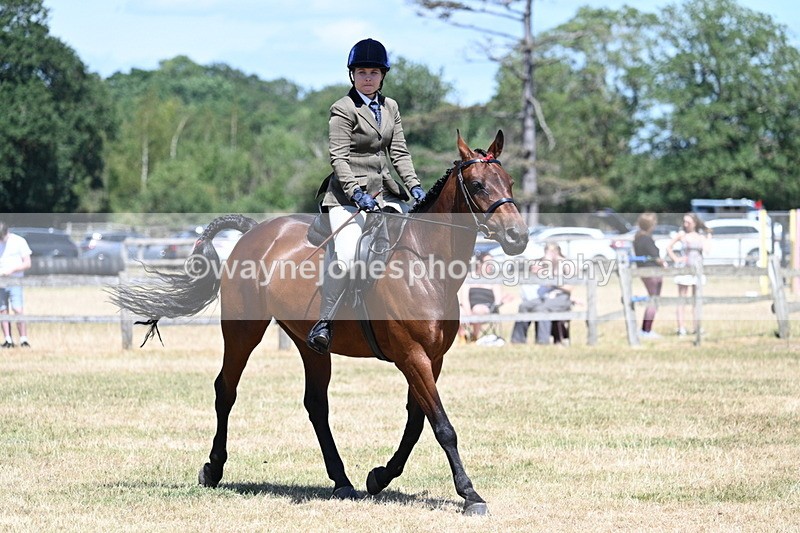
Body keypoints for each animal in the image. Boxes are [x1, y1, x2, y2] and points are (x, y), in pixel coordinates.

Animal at [110, 130, 528, 515]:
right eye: (477, 185)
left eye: (509, 182)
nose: (518, 237)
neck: (425, 264)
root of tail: (253, 233)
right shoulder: (412, 356)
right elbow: (442, 426)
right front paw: (470, 494)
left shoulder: (432, 359)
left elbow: (417, 423)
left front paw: (379, 476)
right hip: (243, 331)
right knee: (225, 391)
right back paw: (213, 470)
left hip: (308, 344)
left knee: (316, 404)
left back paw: (341, 480)